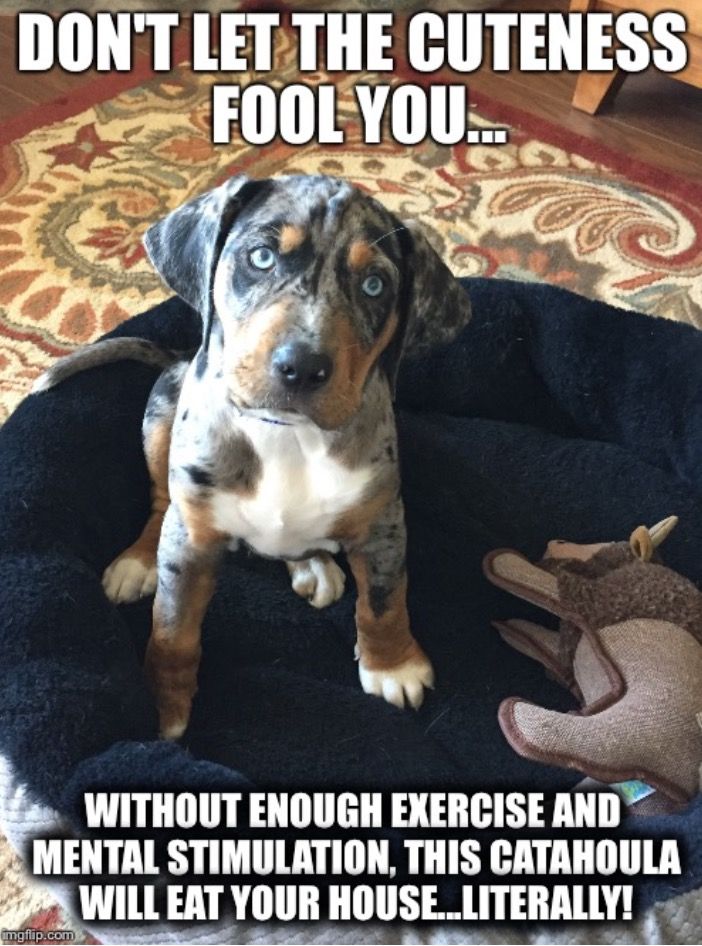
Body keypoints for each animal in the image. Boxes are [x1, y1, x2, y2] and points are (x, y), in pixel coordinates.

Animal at [34, 175, 472, 736]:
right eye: (261, 257)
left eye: (375, 285)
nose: (301, 368)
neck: (287, 436)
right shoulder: (193, 539)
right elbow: (173, 631)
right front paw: (163, 710)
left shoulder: (383, 524)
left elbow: (384, 600)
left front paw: (393, 665)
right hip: (161, 414)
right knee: (160, 501)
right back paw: (137, 560)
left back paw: (313, 567)